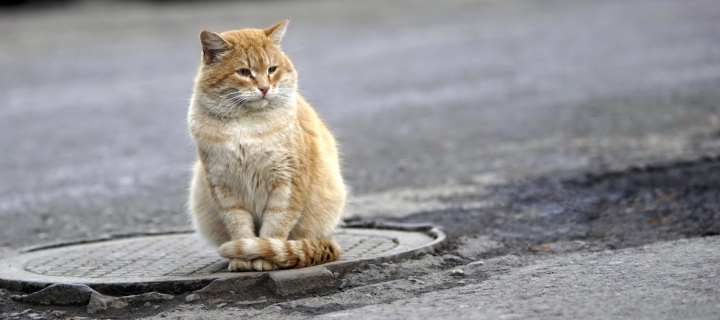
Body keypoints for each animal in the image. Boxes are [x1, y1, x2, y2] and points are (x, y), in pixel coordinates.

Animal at [184, 18, 344, 272]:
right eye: (243, 72)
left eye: (271, 69)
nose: (264, 88)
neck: (246, 125)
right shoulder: (224, 187)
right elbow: (239, 227)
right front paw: (242, 259)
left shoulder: (288, 183)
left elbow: (274, 227)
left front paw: (263, 257)